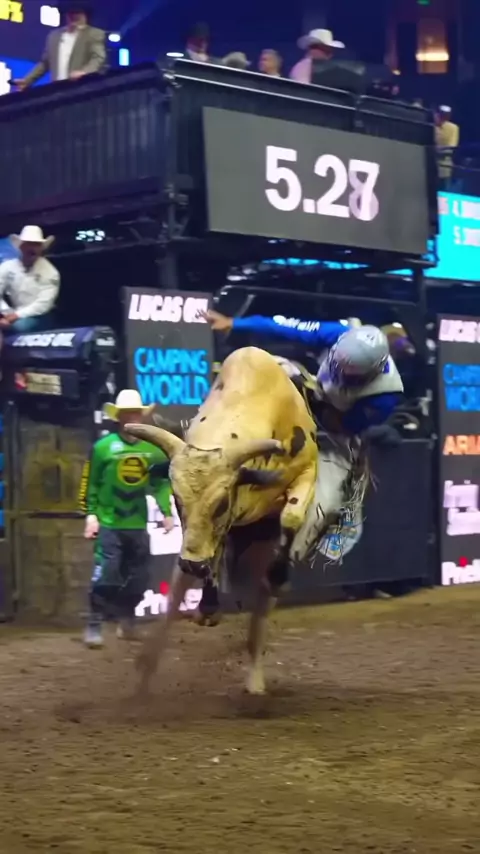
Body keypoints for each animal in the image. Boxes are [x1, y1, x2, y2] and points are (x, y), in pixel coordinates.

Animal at [126, 346, 318, 695]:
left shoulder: (307, 471)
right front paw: (208, 607)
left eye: (221, 503)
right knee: (179, 592)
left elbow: (292, 515)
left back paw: (255, 683)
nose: (191, 564)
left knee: (260, 610)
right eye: (176, 499)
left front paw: (279, 574)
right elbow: (211, 556)